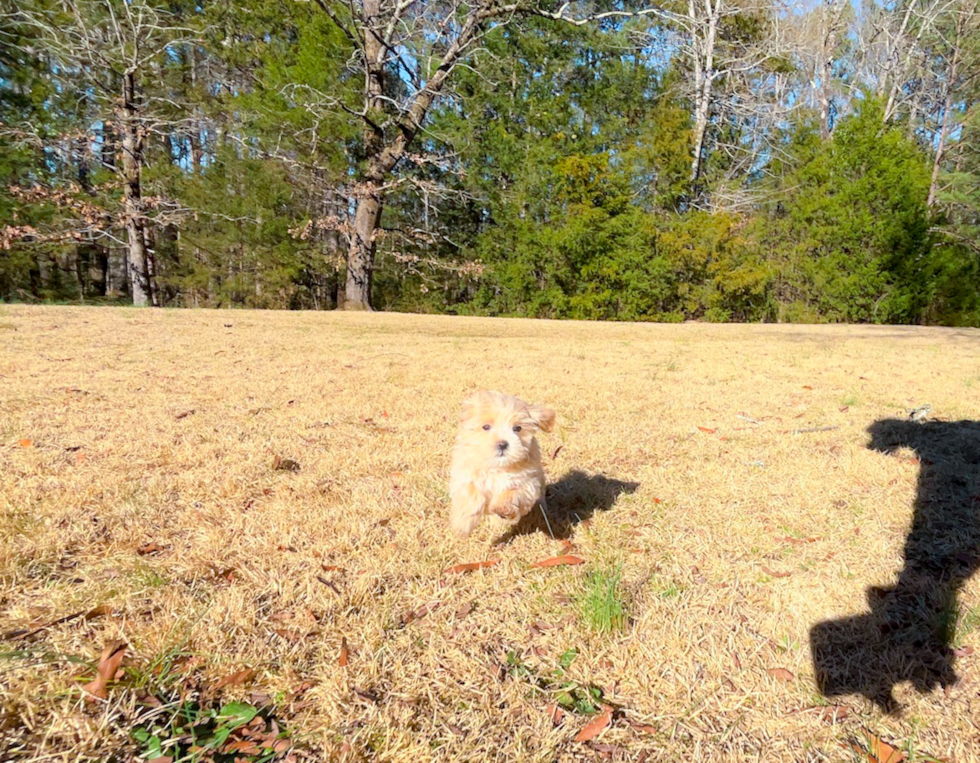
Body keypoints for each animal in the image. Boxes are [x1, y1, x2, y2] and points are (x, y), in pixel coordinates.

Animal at [448, 390, 556, 540]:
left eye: (517, 428)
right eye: (485, 427)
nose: (502, 444)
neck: (498, 467)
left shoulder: (527, 483)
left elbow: (511, 493)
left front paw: (502, 509)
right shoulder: (464, 476)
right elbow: (471, 495)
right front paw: (462, 527)